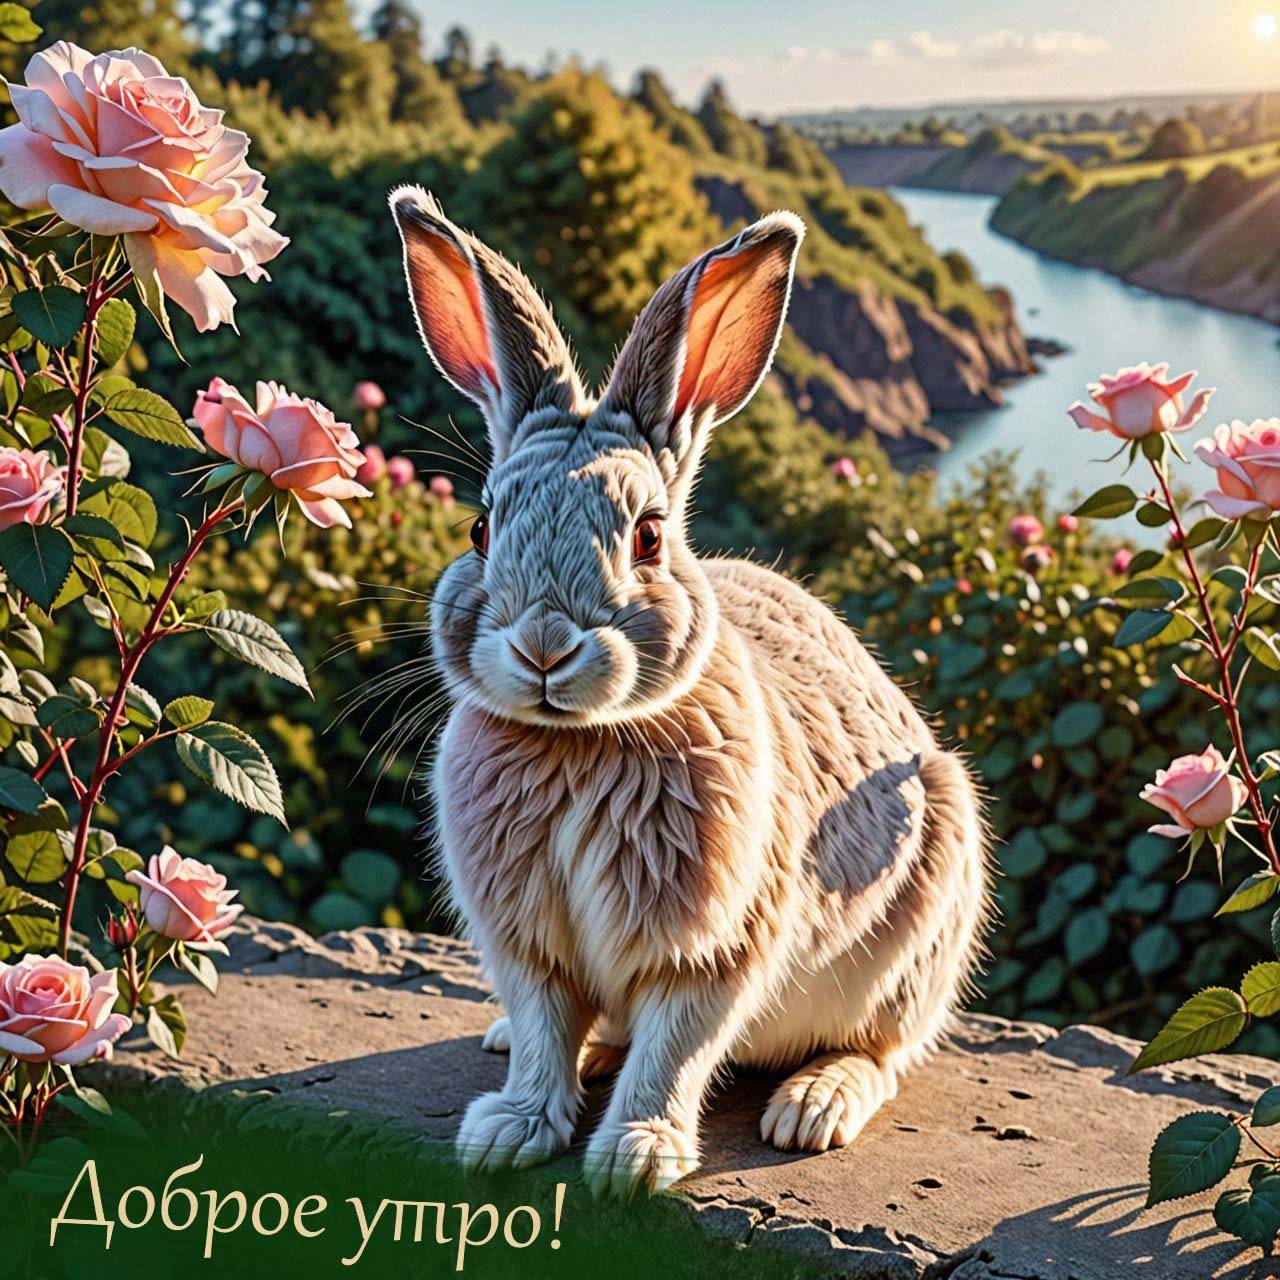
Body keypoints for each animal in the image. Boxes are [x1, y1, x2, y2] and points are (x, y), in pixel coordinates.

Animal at [389, 185, 991, 1199]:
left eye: (648, 537)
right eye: (481, 528)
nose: (545, 646)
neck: (581, 741)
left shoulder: (713, 944)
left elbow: (676, 1047)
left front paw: (633, 1158)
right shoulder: (528, 946)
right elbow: (545, 1026)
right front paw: (510, 1133)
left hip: (921, 929)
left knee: (886, 1051)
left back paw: (812, 1107)